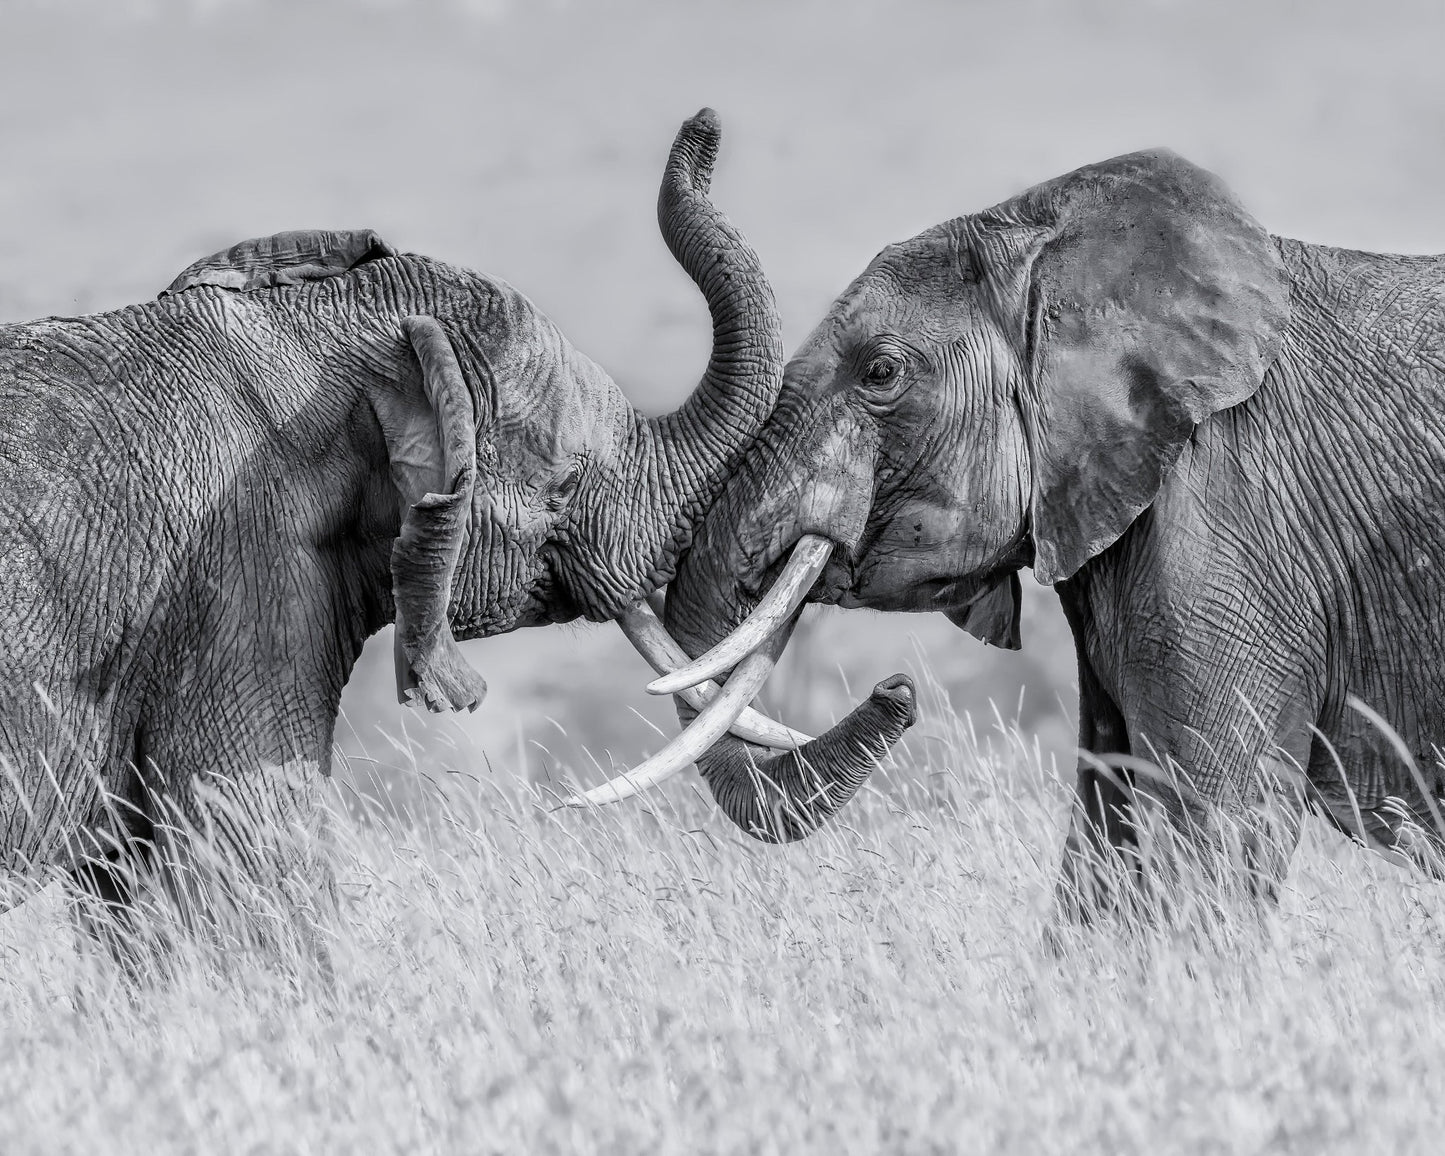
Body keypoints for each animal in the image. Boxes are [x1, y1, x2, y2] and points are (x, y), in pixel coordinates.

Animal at [586, 146, 1445, 908]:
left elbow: (1212, 837)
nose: (896, 689)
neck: (1051, 243)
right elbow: (1104, 840)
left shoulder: (1229, 511)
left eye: (879, 373)